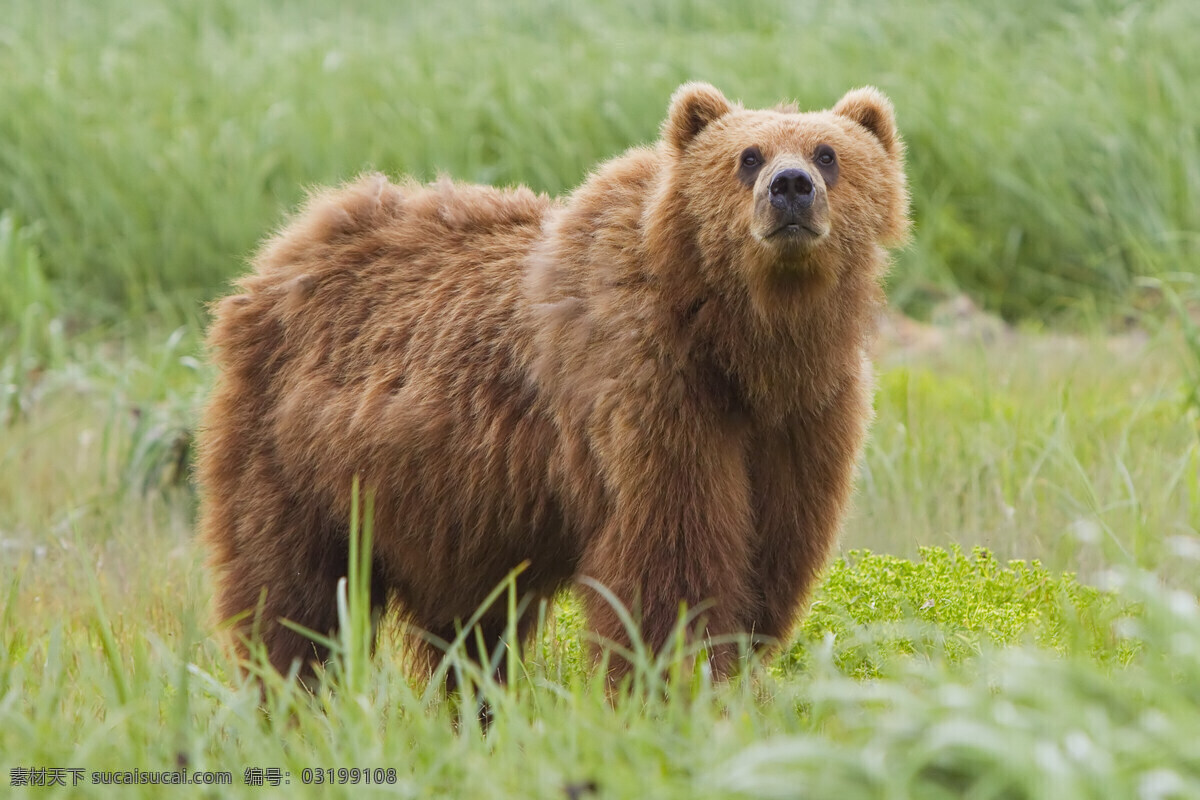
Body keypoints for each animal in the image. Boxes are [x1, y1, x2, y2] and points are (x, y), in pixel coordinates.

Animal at [196, 81, 907, 686]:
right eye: (747, 156)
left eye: (828, 153)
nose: (791, 187)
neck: (743, 346)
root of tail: (285, 246)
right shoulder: (650, 393)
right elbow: (670, 564)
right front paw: (674, 682)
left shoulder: (804, 421)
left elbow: (771, 561)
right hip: (295, 458)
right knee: (292, 597)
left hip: (449, 512)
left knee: (468, 632)